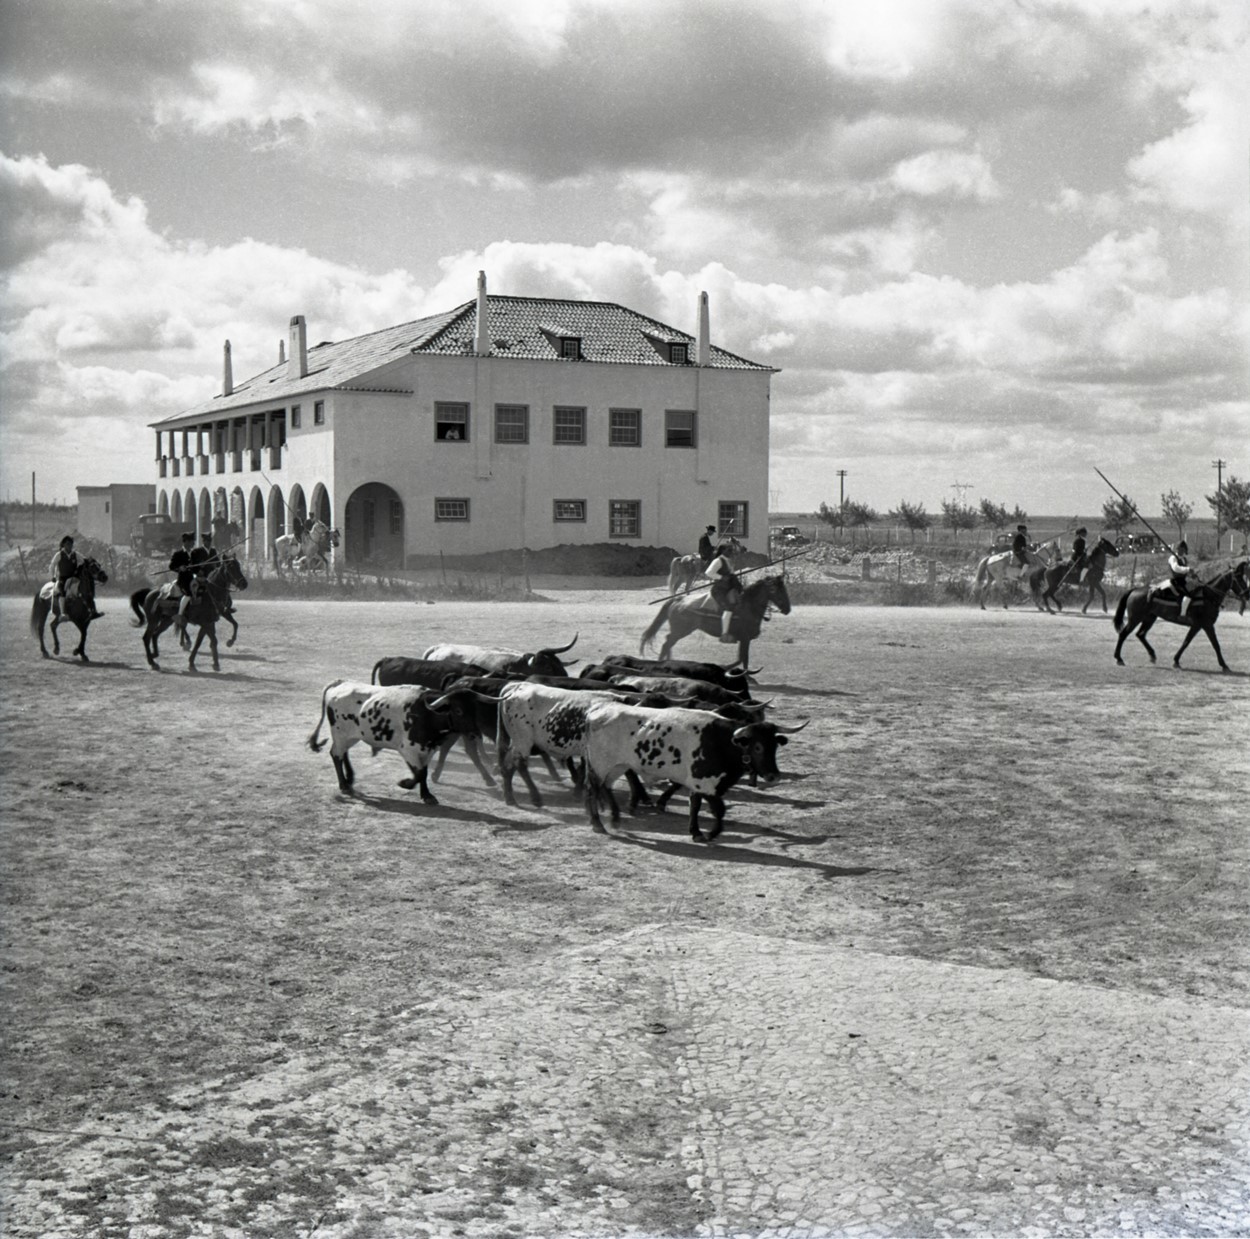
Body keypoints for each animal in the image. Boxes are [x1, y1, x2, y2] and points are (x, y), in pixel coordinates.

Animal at [306, 680, 452, 805]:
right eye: (457, 708)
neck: (427, 713)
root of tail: (341, 682)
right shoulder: (408, 750)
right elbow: (420, 772)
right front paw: (406, 784)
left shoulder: (428, 751)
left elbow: (423, 772)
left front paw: (426, 795)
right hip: (341, 734)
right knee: (336, 754)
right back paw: (344, 785)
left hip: (348, 736)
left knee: (343, 753)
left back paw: (349, 779)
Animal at [580, 705, 805, 845]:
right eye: (757, 747)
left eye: (774, 745)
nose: (774, 776)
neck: (721, 742)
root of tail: (596, 712)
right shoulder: (705, 783)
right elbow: (718, 809)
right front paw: (709, 833)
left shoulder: (700, 785)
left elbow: (695, 806)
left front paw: (696, 832)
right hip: (600, 765)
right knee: (593, 789)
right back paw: (598, 824)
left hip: (617, 765)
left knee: (606, 787)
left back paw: (615, 819)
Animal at [645, 577, 790, 675]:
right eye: (775, 590)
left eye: (784, 589)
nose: (787, 609)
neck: (749, 606)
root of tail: (678, 600)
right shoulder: (745, 638)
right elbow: (743, 658)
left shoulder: (744, 639)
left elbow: (741, 658)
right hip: (681, 630)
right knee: (666, 644)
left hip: (679, 631)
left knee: (668, 643)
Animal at [1115, 560, 1250, 675]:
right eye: (1238, 578)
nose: (1247, 594)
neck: (1208, 596)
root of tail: (1134, 590)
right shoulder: (1206, 625)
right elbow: (1215, 644)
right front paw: (1224, 666)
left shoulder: (1197, 626)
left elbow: (1186, 641)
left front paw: (1176, 661)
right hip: (1135, 619)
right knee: (1123, 634)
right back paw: (1119, 659)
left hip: (1149, 618)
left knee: (1140, 634)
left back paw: (1152, 655)